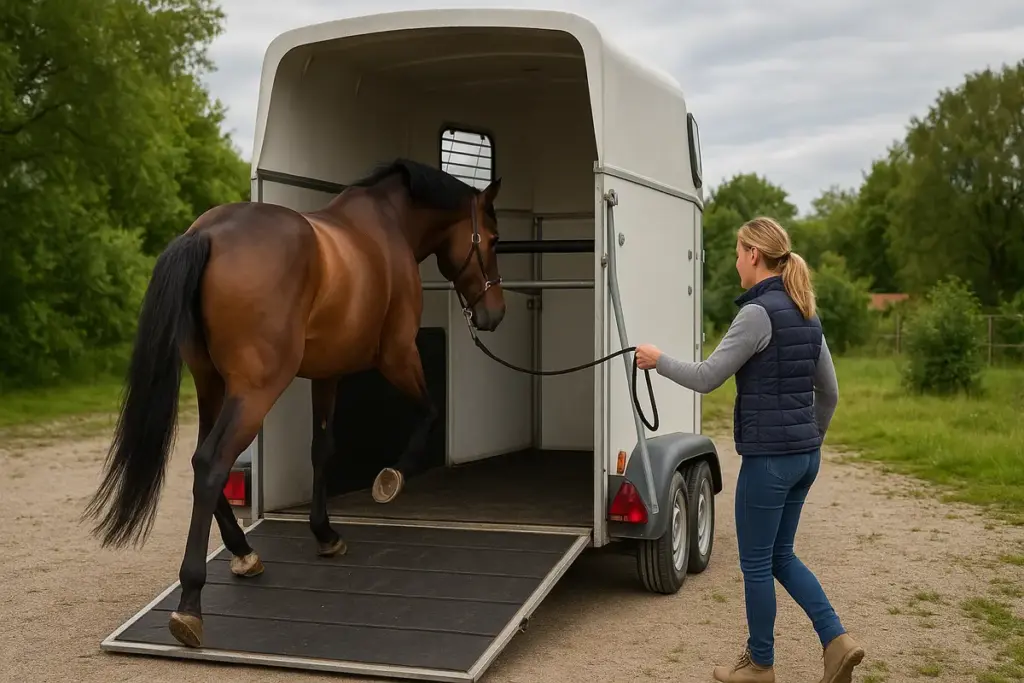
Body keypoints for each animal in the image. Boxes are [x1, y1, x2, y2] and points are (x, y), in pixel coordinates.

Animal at [81, 157, 506, 649]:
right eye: (493, 239)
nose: (494, 314)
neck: (387, 226)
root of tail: (207, 234)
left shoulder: (325, 374)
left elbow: (321, 450)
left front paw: (325, 534)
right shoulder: (399, 354)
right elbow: (429, 412)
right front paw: (390, 480)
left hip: (212, 385)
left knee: (200, 459)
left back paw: (244, 553)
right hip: (255, 391)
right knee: (211, 464)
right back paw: (190, 605)